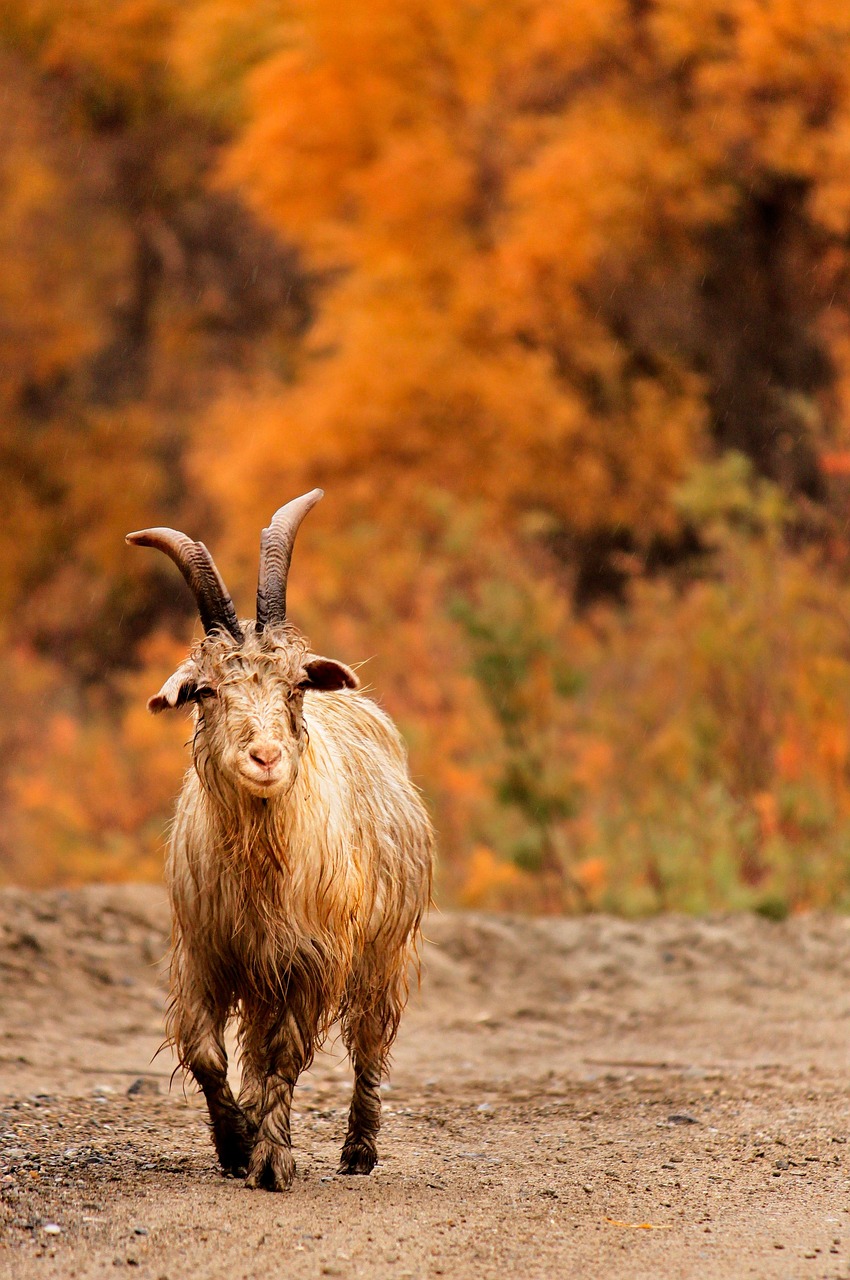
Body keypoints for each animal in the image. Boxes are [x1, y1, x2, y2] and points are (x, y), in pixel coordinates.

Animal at [127, 490, 434, 1191]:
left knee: (368, 1043)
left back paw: (358, 1151)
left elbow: (288, 1053)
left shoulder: (310, 957)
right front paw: (237, 1146)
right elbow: (207, 1052)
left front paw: (271, 1162)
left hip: (384, 953)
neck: (261, 865)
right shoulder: (205, 951)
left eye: (294, 684)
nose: (265, 757)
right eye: (206, 689)